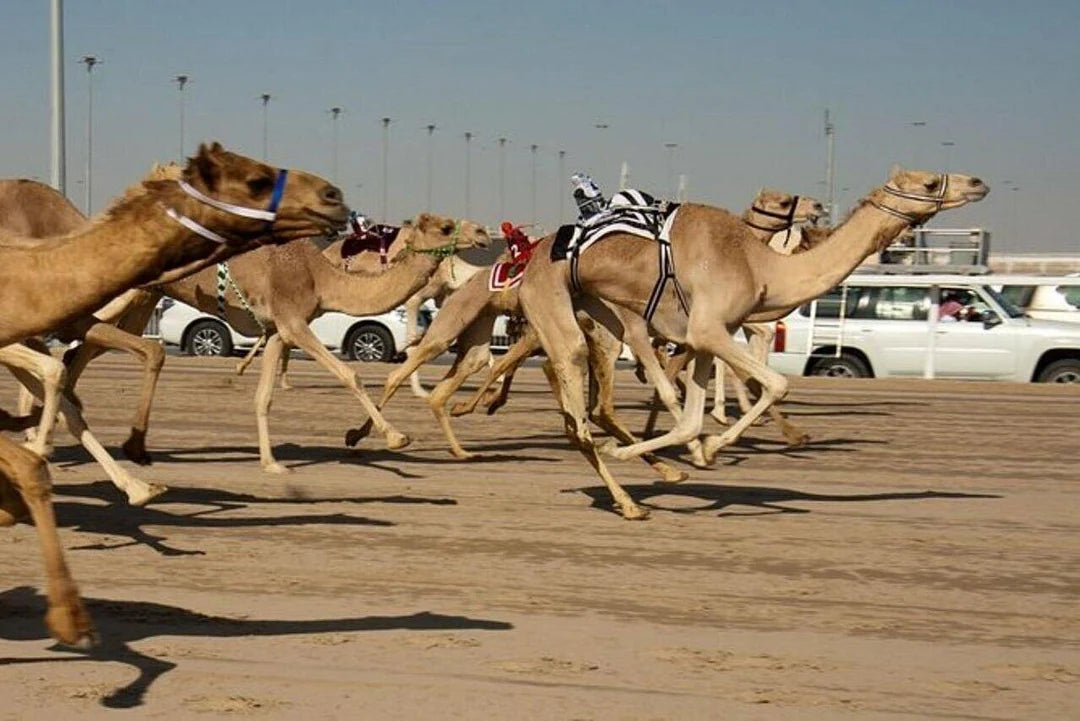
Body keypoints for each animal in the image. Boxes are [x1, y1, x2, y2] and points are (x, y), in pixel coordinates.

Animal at [517, 169, 989, 519]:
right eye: (929, 182)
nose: (978, 182)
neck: (760, 265)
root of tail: (531, 255)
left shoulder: (701, 338)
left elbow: (691, 419)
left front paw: (700, 451)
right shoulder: (710, 330)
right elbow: (776, 384)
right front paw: (702, 448)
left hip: (605, 312)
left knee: (589, 406)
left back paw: (644, 481)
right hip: (557, 308)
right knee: (577, 412)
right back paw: (629, 501)